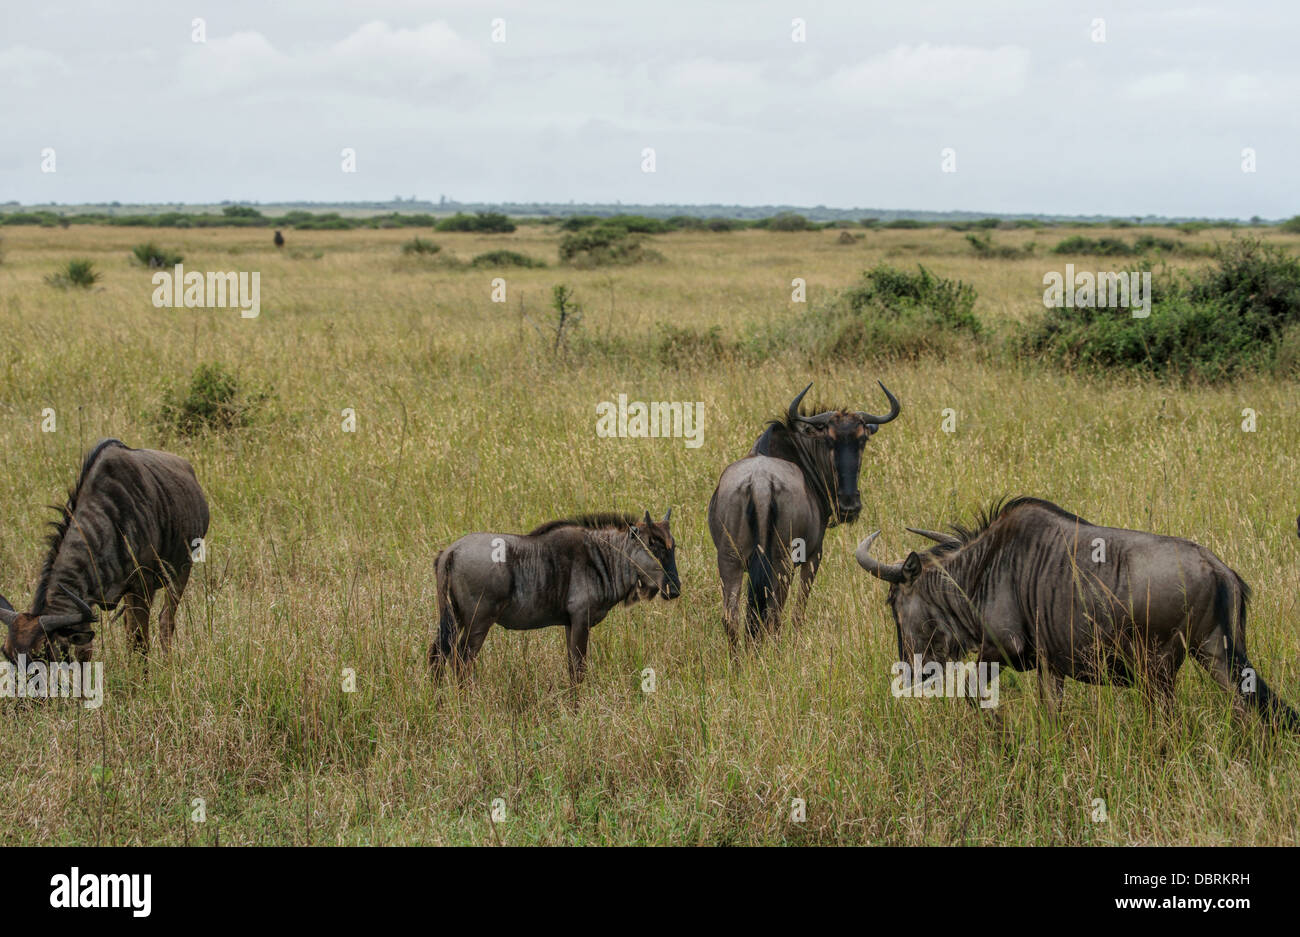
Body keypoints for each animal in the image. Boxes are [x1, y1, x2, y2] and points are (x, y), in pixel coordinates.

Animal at [434, 512, 681, 686]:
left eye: (673, 546)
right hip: (479, 621)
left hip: (456, 618)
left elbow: (572, 669)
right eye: (651, 543)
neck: (603, 557)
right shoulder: (581, 619)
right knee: (462, 660)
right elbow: (579, 670)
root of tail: (451, 550)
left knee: (439, 654)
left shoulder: (569, 623)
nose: (674, 589)